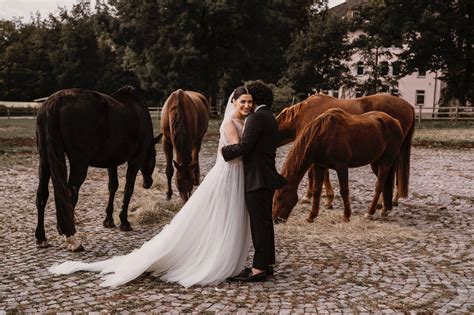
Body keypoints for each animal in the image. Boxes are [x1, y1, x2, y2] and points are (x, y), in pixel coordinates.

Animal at [35, 86, 160, 252]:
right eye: (153, 157)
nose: (148, 183)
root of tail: (54, 103)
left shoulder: (112, 162)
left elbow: (113, 187)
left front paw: (108, 220)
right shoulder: (135, 160)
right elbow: (128, 189)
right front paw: (124, 221)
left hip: (44, 160)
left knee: (42, 194)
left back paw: (41, 238)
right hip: (79, 163)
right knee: (70, 195)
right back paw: (72, 238)